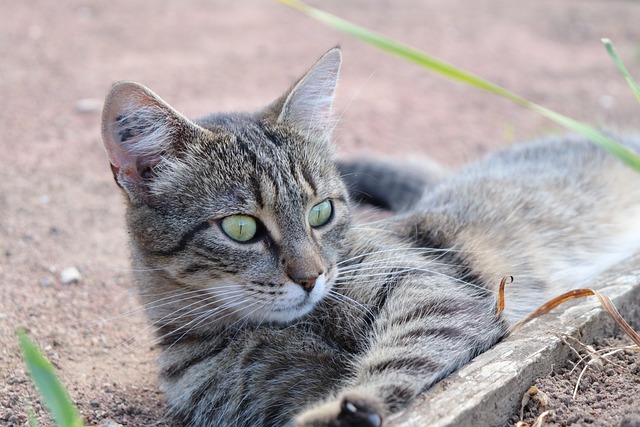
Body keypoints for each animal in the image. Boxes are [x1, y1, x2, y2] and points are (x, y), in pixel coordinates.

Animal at [100, 48, 640, 426]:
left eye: (321, 212)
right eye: (241, 228)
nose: (311, 277)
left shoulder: (430, 294)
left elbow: (401, 358)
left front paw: (341, 410)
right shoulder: (265, 388)